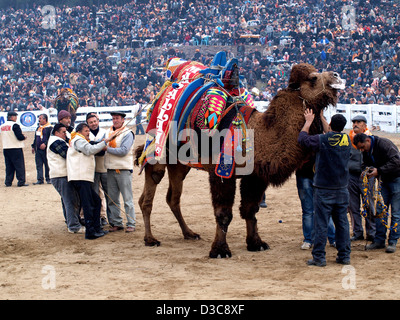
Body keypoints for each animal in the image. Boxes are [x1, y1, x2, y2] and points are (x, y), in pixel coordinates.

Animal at [135, 62, 346, 258]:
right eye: (313, 78)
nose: (337, 75)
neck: (257, 135)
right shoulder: (221, 172)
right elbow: (223, 214)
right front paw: (220, 250)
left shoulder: (255, 176)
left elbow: (250, 210)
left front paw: (256, 243)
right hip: (158, 149)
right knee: (149, 191)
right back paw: (150, 239)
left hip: (180, 164)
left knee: (173, 198)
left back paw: (189, 233)